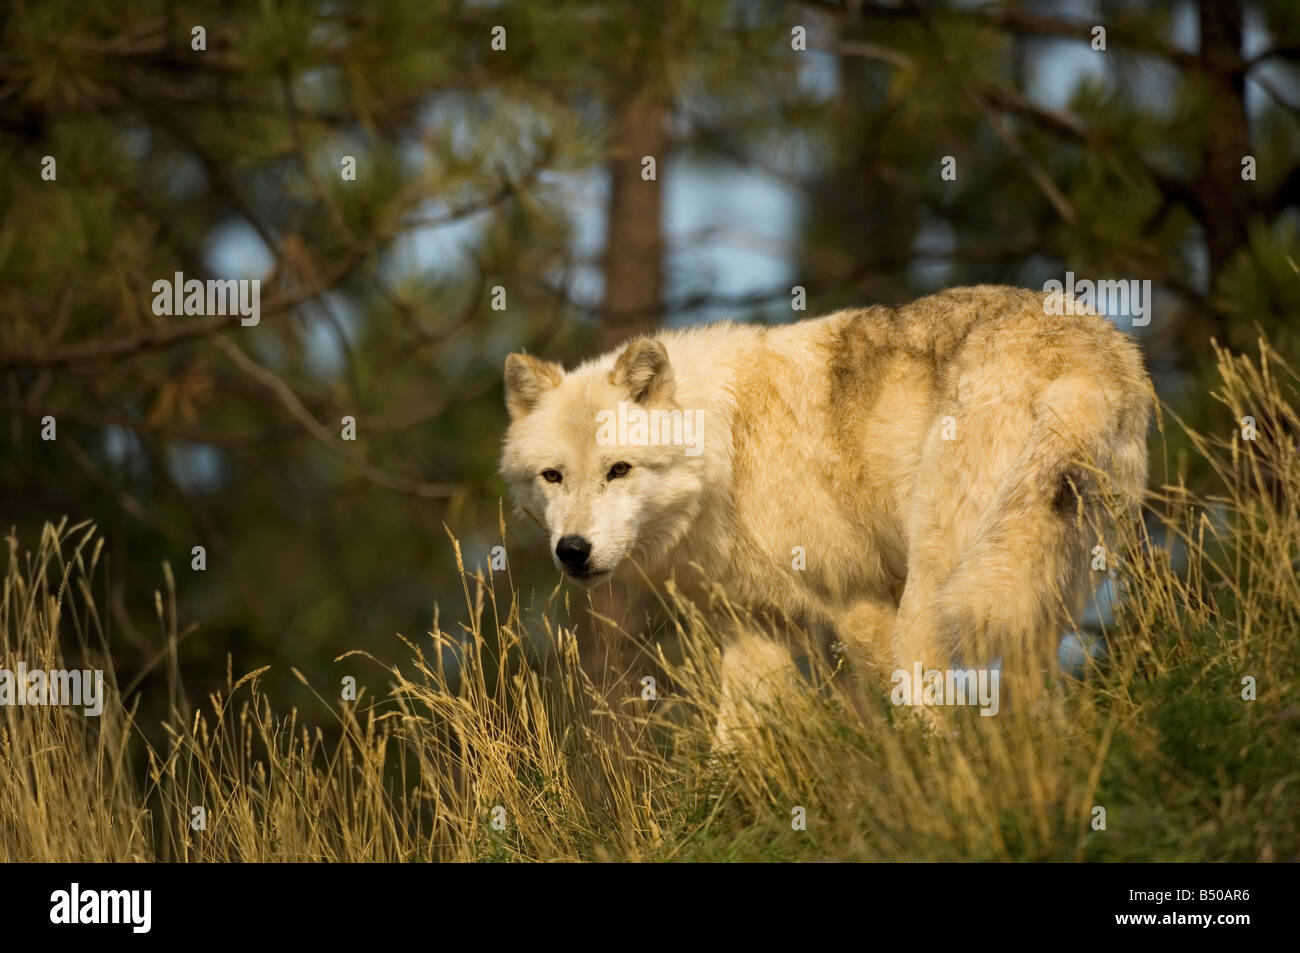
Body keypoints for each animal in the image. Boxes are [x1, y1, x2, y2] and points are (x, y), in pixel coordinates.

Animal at [500, 286, 1151, 742]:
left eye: (619, 470)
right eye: (553, 477)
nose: (572, 551)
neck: (729, 448)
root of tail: (1086, 361)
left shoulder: (856, 599)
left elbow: (881, 709)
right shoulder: (755, 627)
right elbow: (732, 749)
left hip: (935, 592)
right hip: (1037, 591)